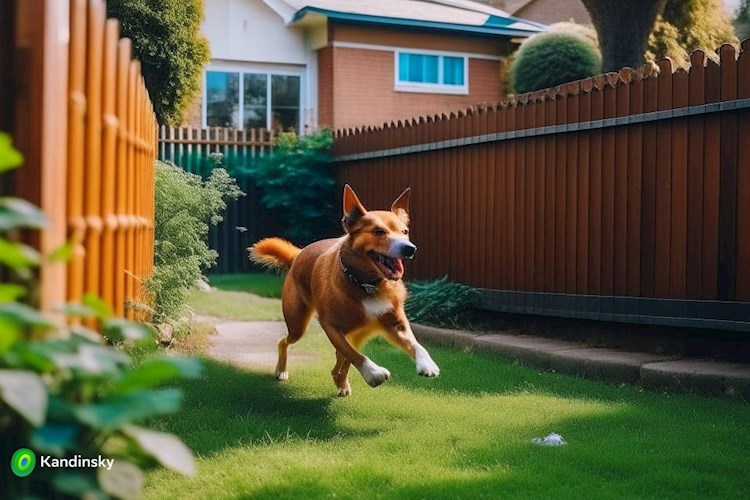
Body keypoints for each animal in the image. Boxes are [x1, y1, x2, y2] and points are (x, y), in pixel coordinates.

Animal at [250, 184, 444, 394]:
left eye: (405, 231)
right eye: (379, 232)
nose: (410, 248)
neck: (366, 284)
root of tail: (298, 255)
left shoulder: (396, 323)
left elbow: (415, 344)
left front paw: (426, 363)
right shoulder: (331, 327)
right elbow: (353, 355)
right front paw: (373, 373)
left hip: (355, 334)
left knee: (340, 359)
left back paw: (340, 381)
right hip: (297, 324)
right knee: (286, 342)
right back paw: (282, 370)